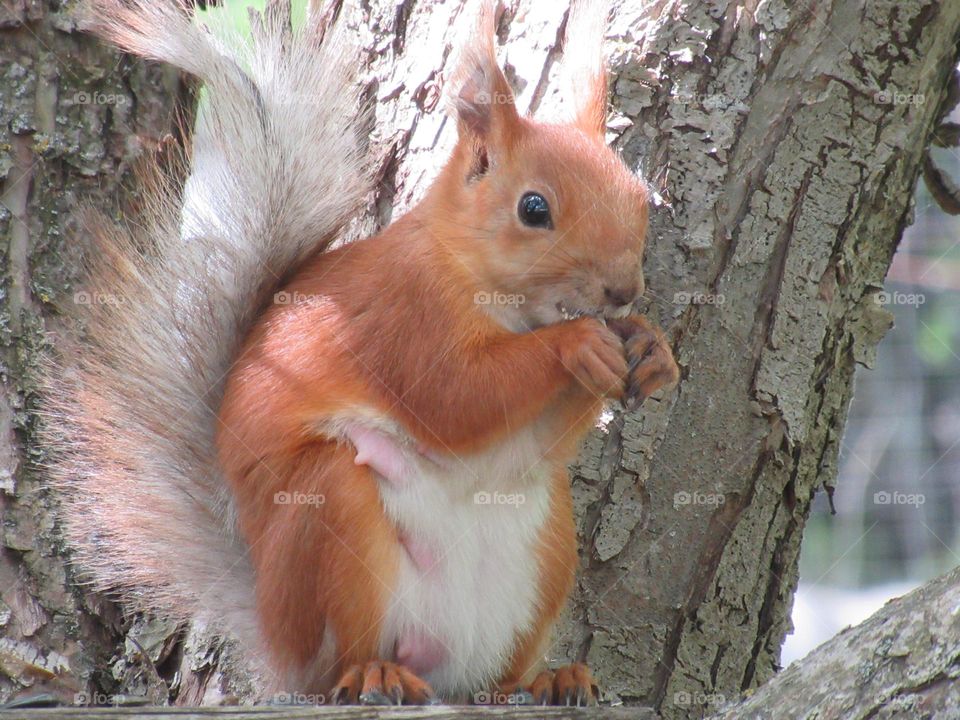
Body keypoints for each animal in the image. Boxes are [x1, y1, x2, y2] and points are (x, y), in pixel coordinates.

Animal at [43, 0, 679, 707]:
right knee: (338, 665)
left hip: (549, 546)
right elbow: (456, 401)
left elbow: (541, 440)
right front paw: (577, 344)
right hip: (330, 516)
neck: (488, 289)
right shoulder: (401, 320)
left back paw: (546, 678)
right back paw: (376, 672)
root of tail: (277, 639)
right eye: (533, 208)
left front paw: (653, 350)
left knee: (492, 678)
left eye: (639, 195)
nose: (624, 290)